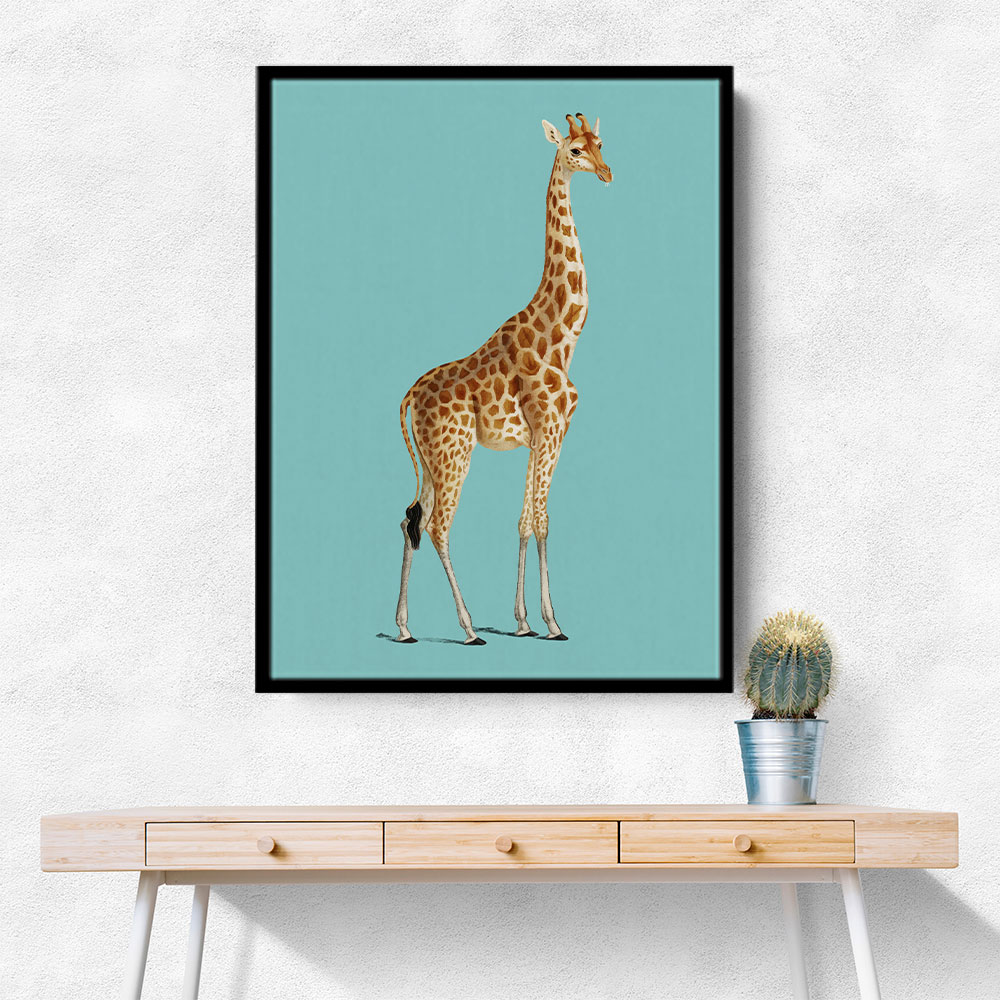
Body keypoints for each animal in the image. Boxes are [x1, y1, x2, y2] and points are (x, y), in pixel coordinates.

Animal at [393, 112, 612, 645]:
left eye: (601, 143)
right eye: (575, 150)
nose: (607, 173)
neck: (562, 336)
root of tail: (409, 396)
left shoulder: (539, 438)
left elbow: (524, 521)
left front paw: (524, 621)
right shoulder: (551, 430)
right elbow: (544, 520)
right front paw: (553, 623)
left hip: (430, 460)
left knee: (410, 519)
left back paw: (405, 628)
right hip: (454, 454)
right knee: (438, 527)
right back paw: (469, 628)